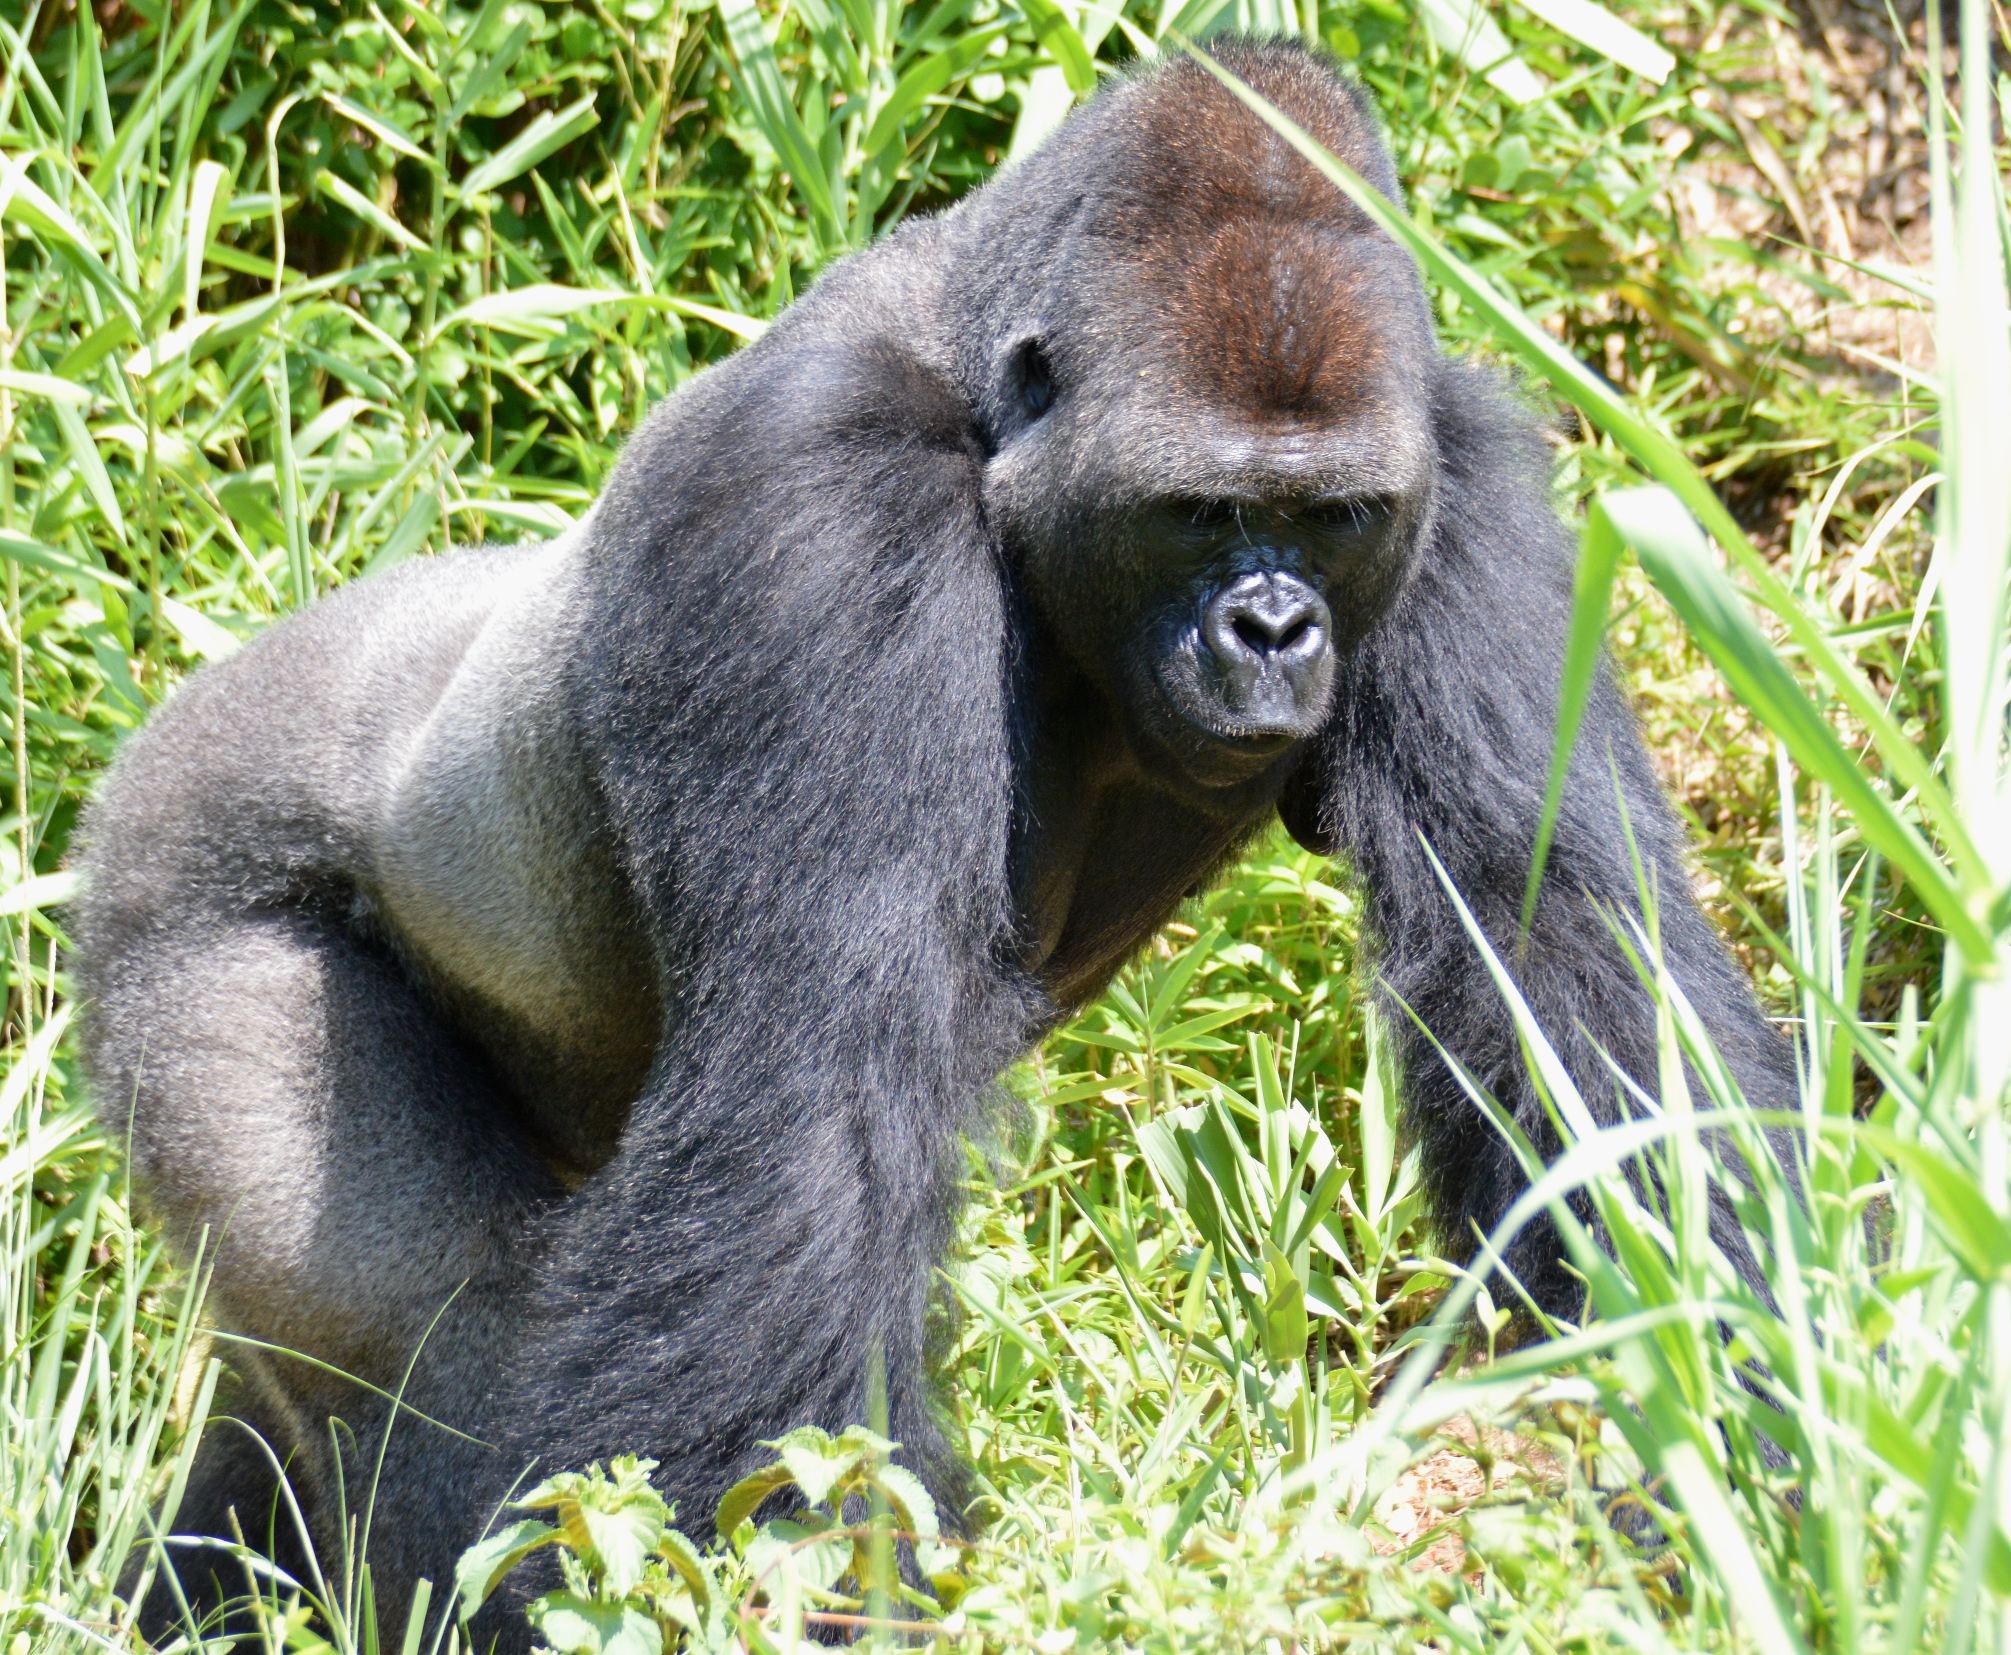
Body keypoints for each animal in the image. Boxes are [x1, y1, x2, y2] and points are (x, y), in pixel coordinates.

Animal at [70, 38, 1793, 1640]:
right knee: (420, 1356)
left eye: (1329, 518)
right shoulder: (813, 495)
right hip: (187, 888)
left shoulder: (1464, 478)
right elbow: (816, 1097)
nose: (1271, 627)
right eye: (1196, 511)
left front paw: (1744, 1432)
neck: (990, 404)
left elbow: (1563, 959)